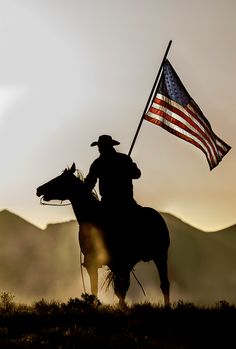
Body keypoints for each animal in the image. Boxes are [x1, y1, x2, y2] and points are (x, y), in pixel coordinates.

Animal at [36, 162, 170, 306]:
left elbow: (103, 289)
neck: (94, 217)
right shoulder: (105, 263)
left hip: (159, 256)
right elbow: (106, 289)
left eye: (60, 179)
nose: (39, 189)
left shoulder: (104, 262)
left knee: (162, 284)